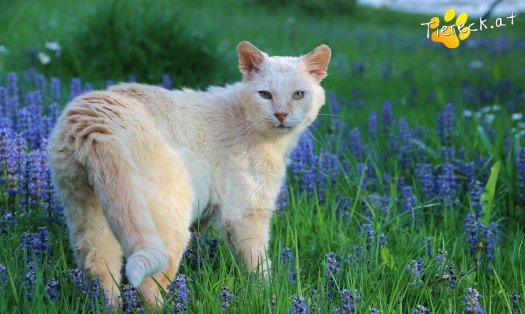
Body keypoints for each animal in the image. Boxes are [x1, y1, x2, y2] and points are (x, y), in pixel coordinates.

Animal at [48, 40, 328, 308]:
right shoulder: (245, 214)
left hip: (90, 219)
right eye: (265, 95)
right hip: (169, 225)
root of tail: (95, 122)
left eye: (298, 94)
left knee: (101, 276)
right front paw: (271, 296)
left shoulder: (208, 212)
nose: (281, 114)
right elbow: (259, 266)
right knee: (149, 286)